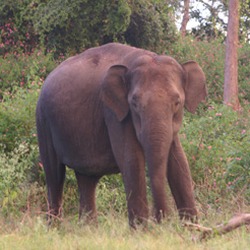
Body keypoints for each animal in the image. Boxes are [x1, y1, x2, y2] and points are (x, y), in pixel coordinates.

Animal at [35, 43, 207, 229]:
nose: (161, 220)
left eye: (177, 102)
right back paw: (55, 229)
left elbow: (179, 163)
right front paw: (142, 231)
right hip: (43, 121)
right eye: (134, 103)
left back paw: (88, 229)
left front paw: (192, 228)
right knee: (54, 175)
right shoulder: (113, 112)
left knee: (86, 179)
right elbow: (131, 160)